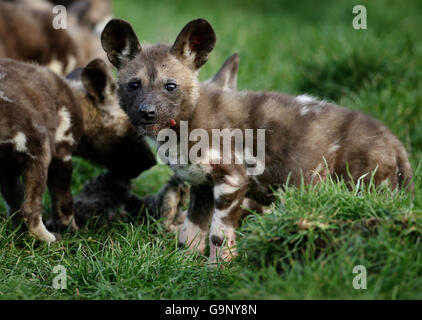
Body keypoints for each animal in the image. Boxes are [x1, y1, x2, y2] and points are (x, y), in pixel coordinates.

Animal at [0, 58, 83, 242]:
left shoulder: (7, 172)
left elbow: (14, 203)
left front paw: (18, 233)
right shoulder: (61, 151)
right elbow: (64, 199)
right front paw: (71, 230)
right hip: (39, 151)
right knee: (31, 209)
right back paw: (50, 240)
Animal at [99, 18, 412, 262]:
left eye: (170, 86)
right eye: (134, 85)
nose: (147, 113)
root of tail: (394, 141)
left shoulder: (233, 180)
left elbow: (217, 236)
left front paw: (217, 271)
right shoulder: (201, 185)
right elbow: (190, 234)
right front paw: (183, 266)